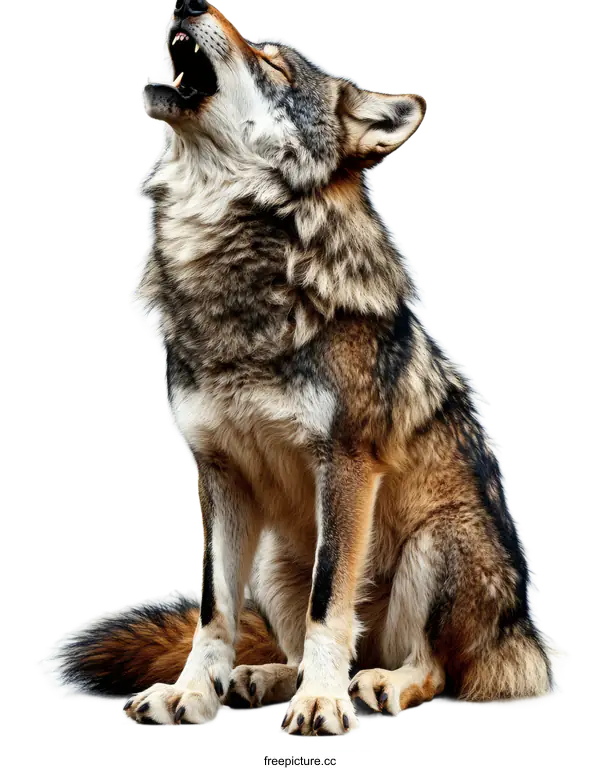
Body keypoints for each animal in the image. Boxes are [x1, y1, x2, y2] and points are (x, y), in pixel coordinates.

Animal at [39, 0, 569, 735]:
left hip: (438, 545)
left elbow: (329, 602)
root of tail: (527, 635)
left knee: (432, 666)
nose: (188, 4)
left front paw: (323, 702)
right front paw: (193, 692)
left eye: (272, 61)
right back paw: (262, 678)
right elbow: (215, 611)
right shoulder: (217, 473)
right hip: (271, 560)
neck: (227, 276)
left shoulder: (344, 464)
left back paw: (376, 685)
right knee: (304, 639)